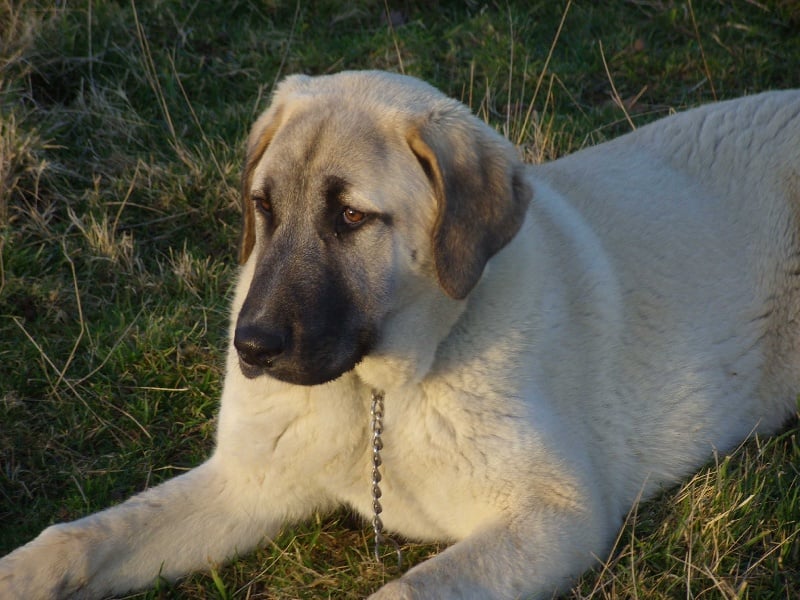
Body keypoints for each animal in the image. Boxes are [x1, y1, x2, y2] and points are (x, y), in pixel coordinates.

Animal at [1, 69, 800, 596]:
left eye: (352, 217)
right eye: (263, 207)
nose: (250, 348)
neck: (379, 395)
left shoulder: (556, 512)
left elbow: (405, 587)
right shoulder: (246, 483)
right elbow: (78, 537)